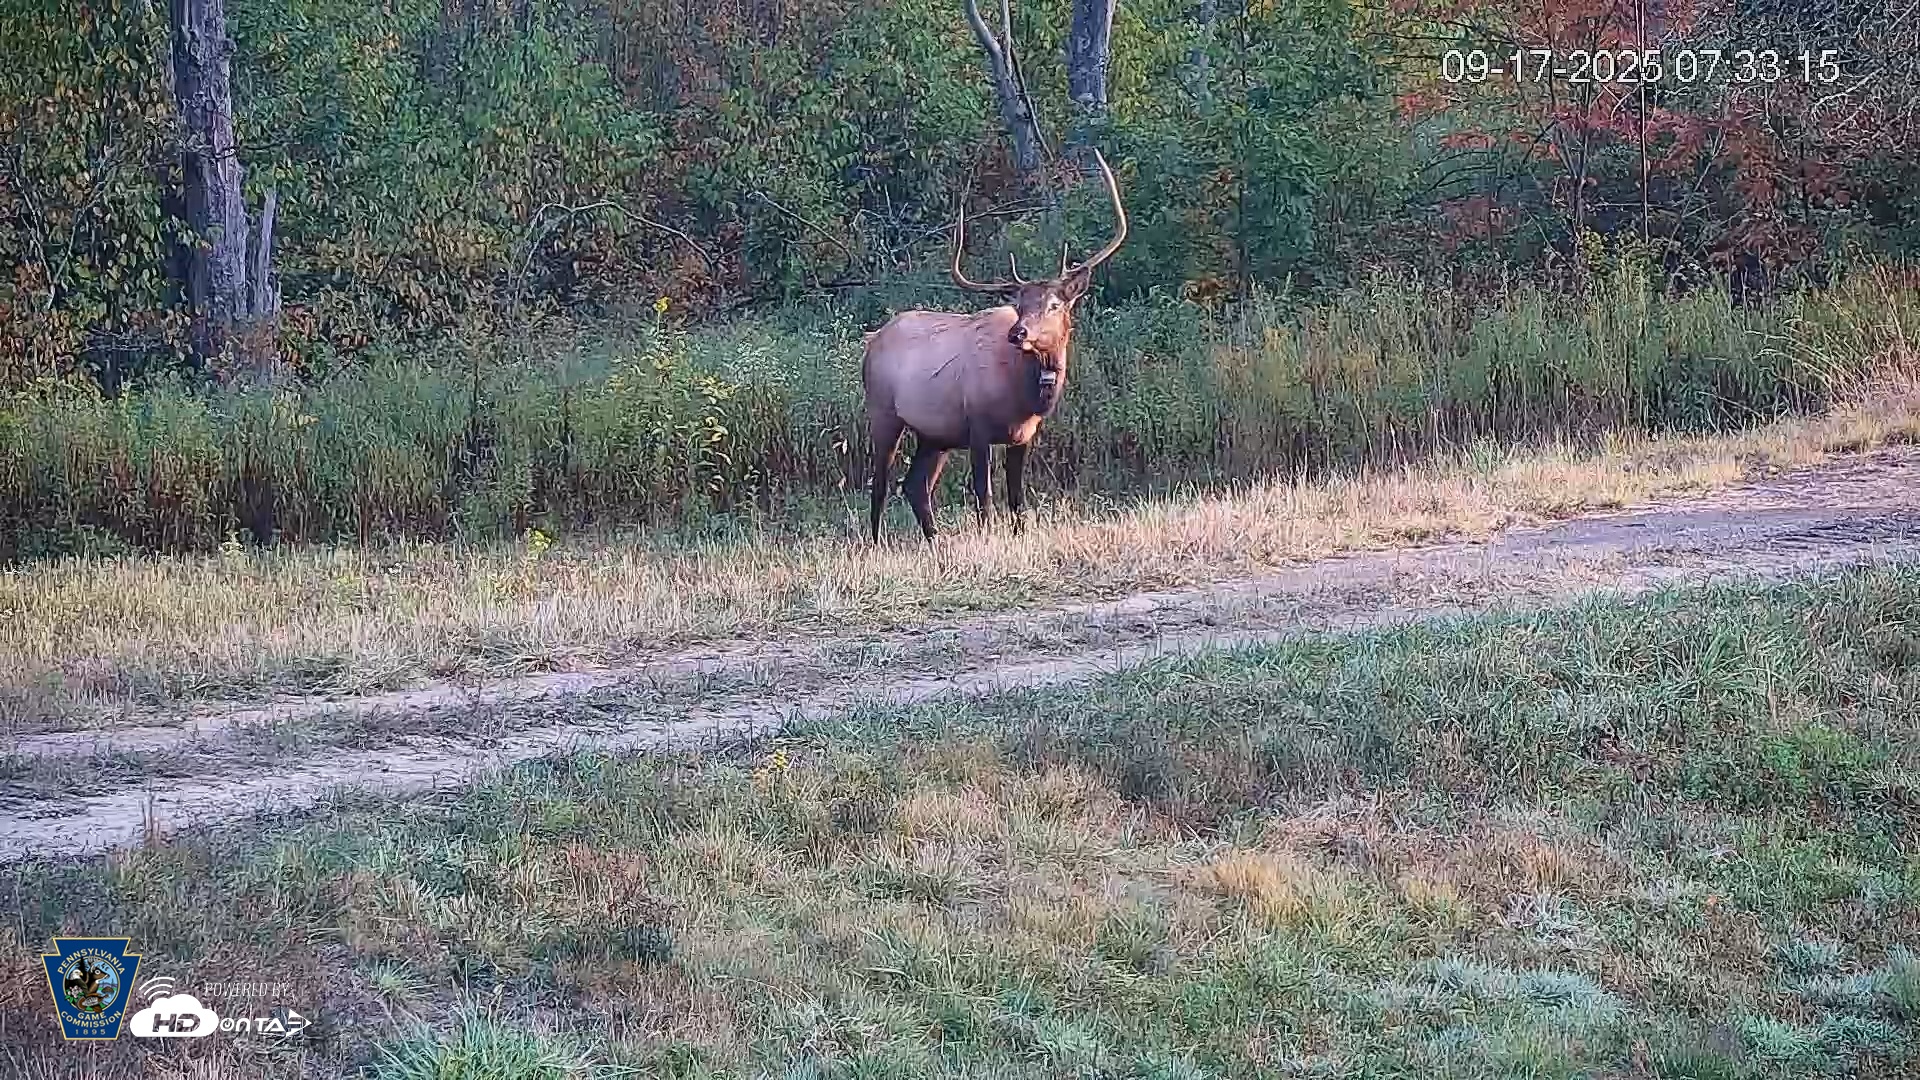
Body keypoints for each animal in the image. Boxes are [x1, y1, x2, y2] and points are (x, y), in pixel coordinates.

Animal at [861, 148, 1127, 543]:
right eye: (1019, 304)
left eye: (1054, 304)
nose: (1018, 333)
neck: (1024, 396)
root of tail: (870, 344)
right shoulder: (978, 427)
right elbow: (984, 496)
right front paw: (988, 538)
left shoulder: (1022, 436)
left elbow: (1017, 499)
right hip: (884, 413)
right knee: (880, 483)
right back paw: (879, 544)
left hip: (933, 434)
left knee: (915, 485)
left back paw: (935, 541)